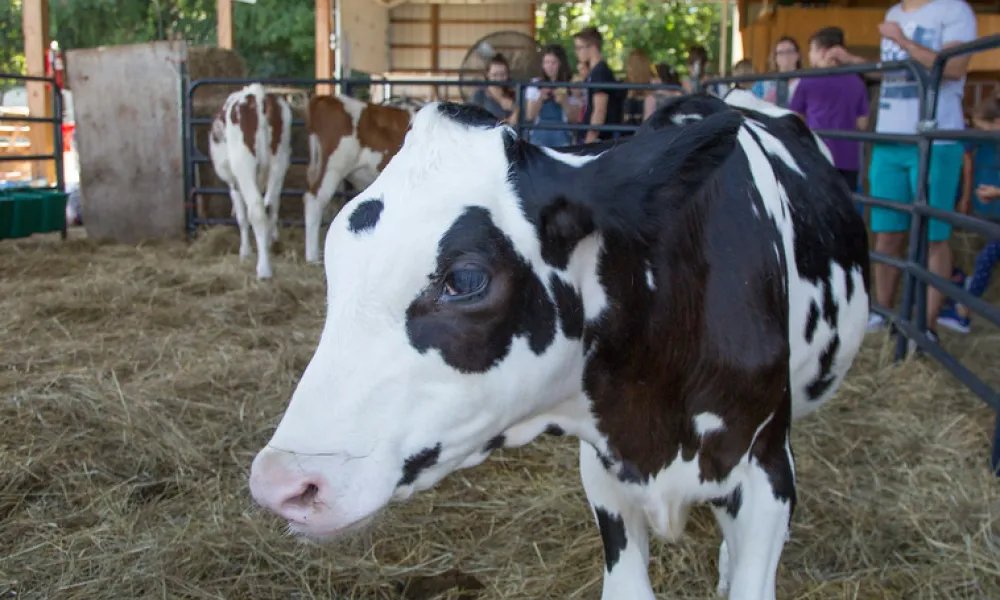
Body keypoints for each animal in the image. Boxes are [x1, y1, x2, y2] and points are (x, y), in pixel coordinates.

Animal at [209, 83, 292, 280]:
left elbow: (241, 216)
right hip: (279, 162)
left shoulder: (234, 183)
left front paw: (245, 252)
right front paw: (271, 239)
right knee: (270, 206)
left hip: (244, 166)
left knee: (257, 210)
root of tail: (257, 94)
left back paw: (264, 269)